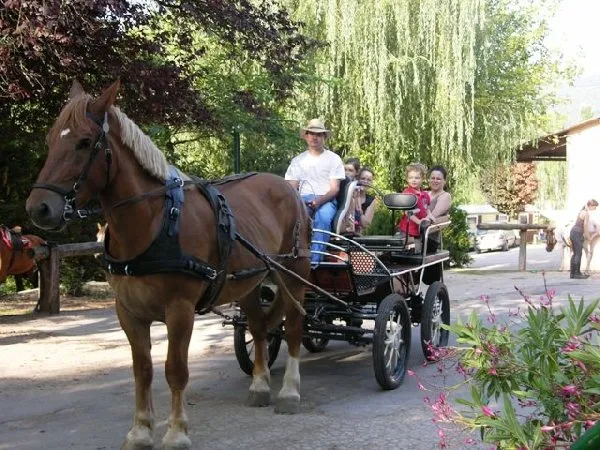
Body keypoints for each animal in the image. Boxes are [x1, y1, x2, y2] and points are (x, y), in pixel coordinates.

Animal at [25, 81, 312, 450]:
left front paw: (176, 432)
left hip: (295, 275)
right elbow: (143, 370)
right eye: (50, 140)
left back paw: (290, 391)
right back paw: (260, 384)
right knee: (259, 327)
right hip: (248, 280)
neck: (154, 222)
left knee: (293, 327)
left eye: (84, 142)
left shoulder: (180, 309)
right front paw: (140, 431)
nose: (39, 207)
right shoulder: (128, 310)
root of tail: (286, 187)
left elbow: (175, 369)